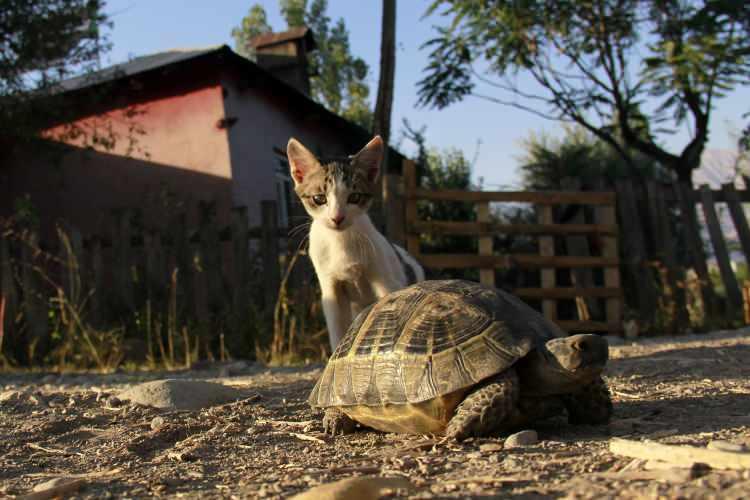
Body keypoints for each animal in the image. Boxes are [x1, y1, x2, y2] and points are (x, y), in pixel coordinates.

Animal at [288, 135, 426, 350]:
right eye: (319, 198)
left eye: (354, 197)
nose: (337, 218)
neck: (341, 242)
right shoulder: (331, 290)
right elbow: (337, 330)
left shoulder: (386, 280)